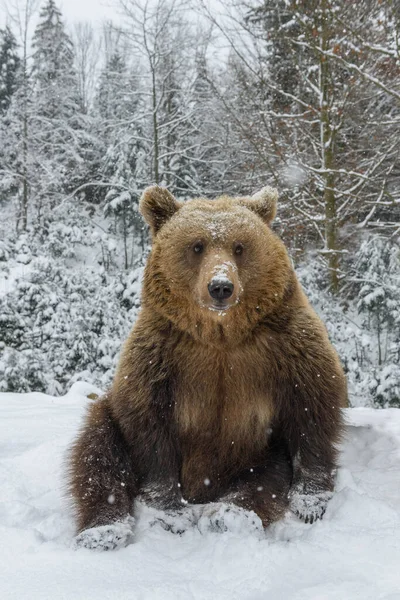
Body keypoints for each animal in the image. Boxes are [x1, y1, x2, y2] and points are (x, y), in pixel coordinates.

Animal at [68, 185, 346, 552]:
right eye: (197, 245)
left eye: (239, 247)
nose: (221, 286)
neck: (219, 335)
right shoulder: (160, 355)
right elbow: (149, 428)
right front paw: (169, 512)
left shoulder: (286, 345)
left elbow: (312, 408)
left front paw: (310, 501)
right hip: (111, 419)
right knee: (99, 450)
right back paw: (102, 532)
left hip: (259, 450)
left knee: (263, 481)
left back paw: (229, 516)